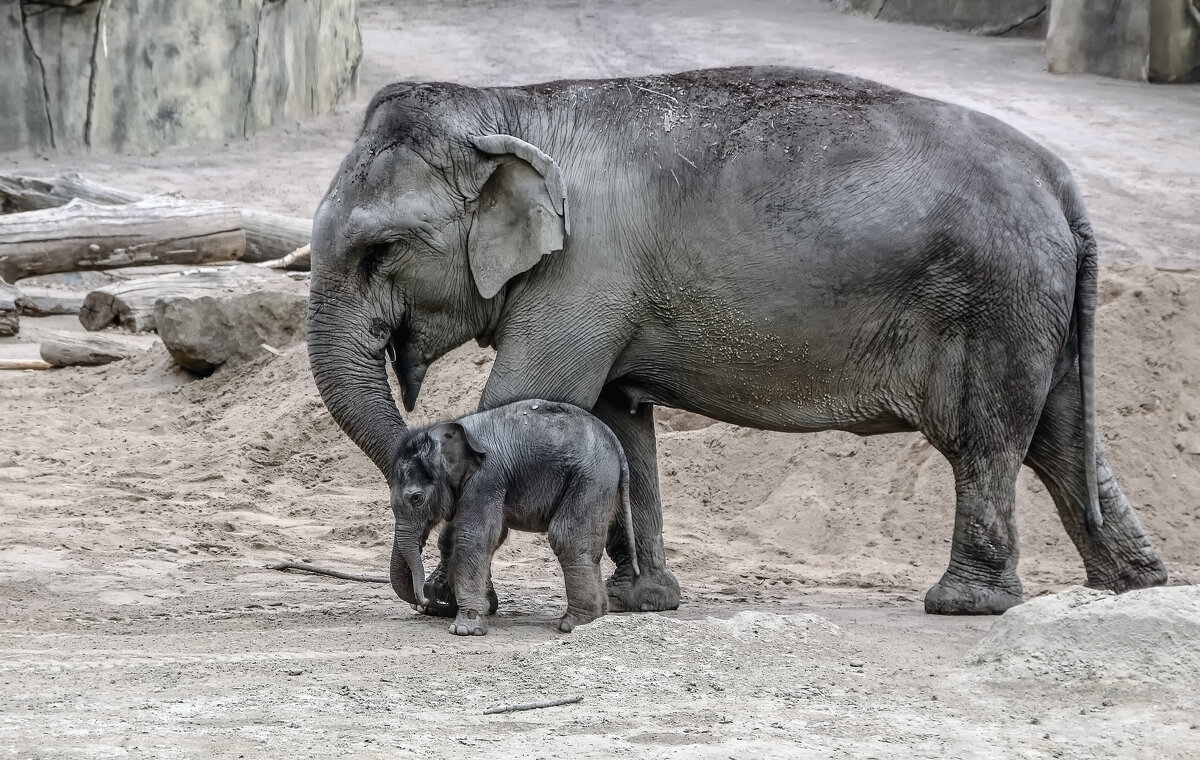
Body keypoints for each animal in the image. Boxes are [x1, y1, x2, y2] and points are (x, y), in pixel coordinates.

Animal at [391, 396, 638, 633]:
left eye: (417, 499)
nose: (424, 603)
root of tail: (615, 445)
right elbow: (477, 536)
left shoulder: (486, 477)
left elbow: (474, 537)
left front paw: (464, 629)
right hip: (600, 483)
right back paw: (597, 618)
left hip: (590, 479)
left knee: (568, 538)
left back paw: (574, 624)